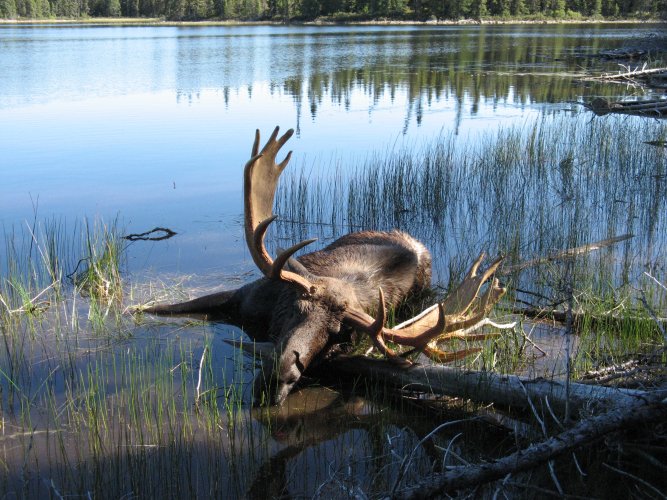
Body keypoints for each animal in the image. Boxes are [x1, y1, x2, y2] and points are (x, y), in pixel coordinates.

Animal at [143, 126, 507, 405]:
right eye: (294, 310)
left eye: (337, 334)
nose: (279, 378)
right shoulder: (243, 295)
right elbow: (171, 307)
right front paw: (140, 308)